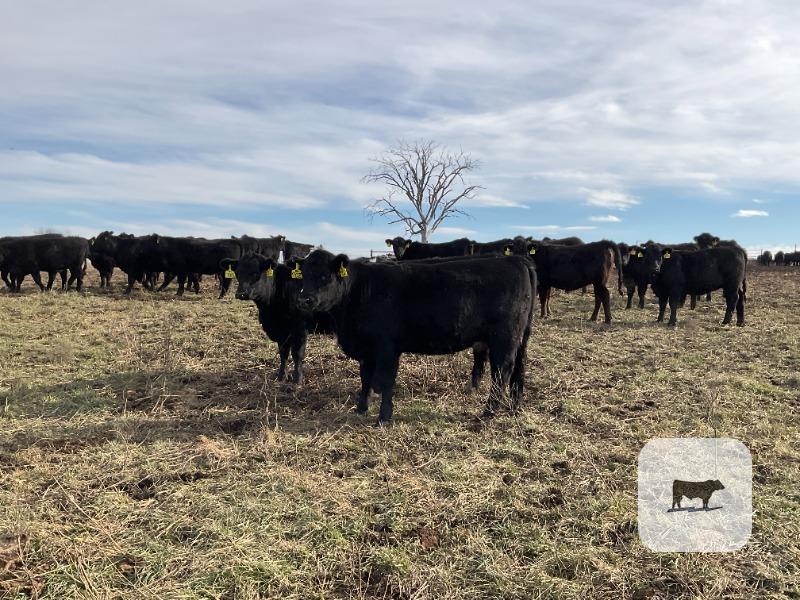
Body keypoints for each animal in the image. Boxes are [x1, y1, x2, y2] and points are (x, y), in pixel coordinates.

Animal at [221, 253, 334, 384]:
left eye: (255, 273)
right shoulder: (281, 330)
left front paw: (297, 379)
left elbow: (297, 353)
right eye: (237, 273)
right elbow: (283, 353)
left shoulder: (299, 327)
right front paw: (281, 376)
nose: (241, 294)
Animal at [296, 250, 536, 424]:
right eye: (303, 276)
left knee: (502, 372)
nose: (304, 300)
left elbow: (385, 381)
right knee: (518, 368)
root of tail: (515, 259)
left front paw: (384, 418)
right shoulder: (366, 349)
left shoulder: (387, 347)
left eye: (325, 276)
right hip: (519, 338)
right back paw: (514, 405)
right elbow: (365, 379)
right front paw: (361, 409)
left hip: (504, 338)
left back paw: (488, 413)